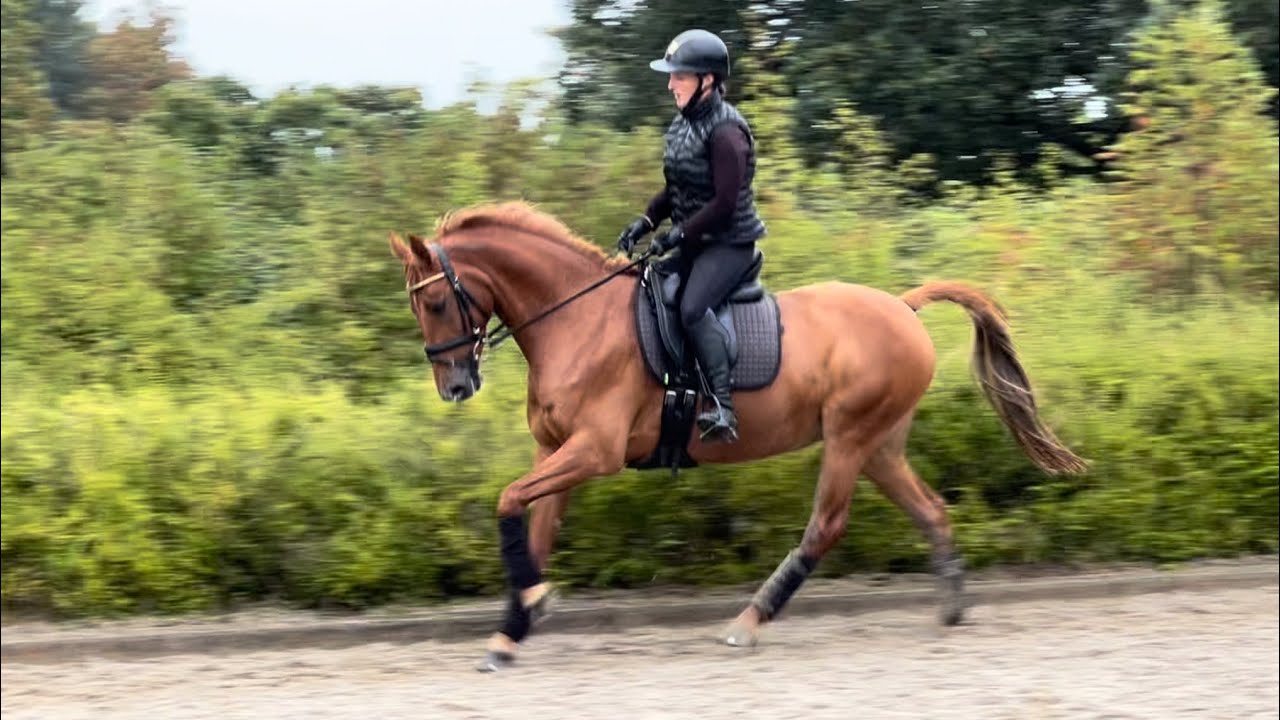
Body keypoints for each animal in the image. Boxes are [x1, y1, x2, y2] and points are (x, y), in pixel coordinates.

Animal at [387, 201, 1086, 672]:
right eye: (419, 306)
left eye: (439, 303)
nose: (455, 387)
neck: (576, 321)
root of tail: (902, 306)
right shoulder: (555, 452)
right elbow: (531, 529)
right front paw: (513, 629)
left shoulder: (594, 452)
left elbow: (508, 501)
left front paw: (533, 600)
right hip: (880, 444)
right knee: (932, 510)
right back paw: (951, 606)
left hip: (850, 436)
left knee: (826, 526)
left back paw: (749, 623)